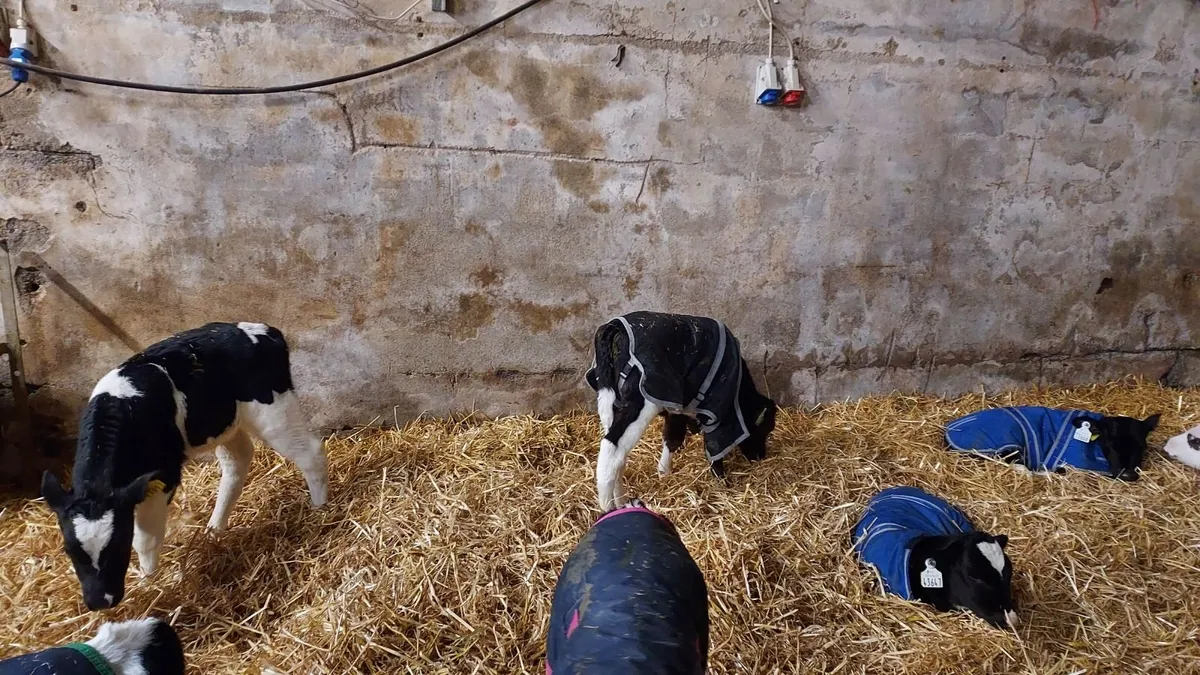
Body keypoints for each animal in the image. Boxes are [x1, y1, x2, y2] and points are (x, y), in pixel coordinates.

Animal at [40, 322, 328, 611]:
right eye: (69, 550)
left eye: (118, 545)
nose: (101, 602)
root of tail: (264, 330)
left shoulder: (163, 477)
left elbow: (146, 540)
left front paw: (148, 585)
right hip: (223, 424)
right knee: (238, 461)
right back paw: (214, 529)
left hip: (273, 411)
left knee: (311, 453)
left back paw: (320, 511)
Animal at [585, 311, 777, 511]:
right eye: (765, 430)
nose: (759, 457)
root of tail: (615, 327)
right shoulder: (717, 412)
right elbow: (714, 447)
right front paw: (722, 482)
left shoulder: (677, 408)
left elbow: (672, 438)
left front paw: (664, 472)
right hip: (639, 405)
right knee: (611, 448)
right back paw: (608, 507)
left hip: (611, 402)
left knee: (620, 457)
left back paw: (621, 500)